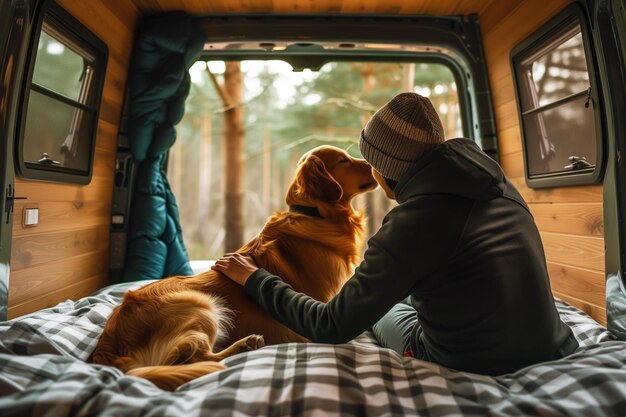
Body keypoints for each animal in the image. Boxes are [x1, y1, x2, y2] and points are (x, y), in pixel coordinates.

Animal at [91, 145, 378, 388]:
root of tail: (109, 346)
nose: (373, 164)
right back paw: (244, 346)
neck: (315, 214)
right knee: (194, 358)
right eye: (343, 160)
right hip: (200, 306)